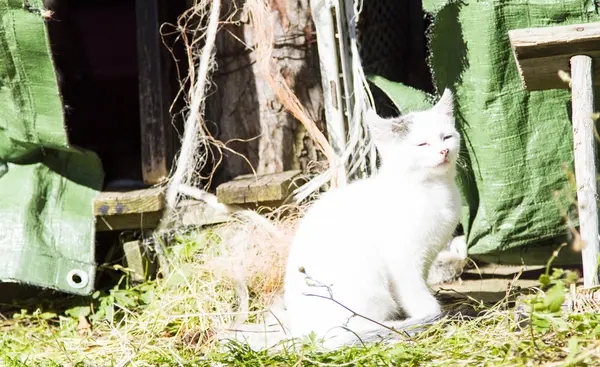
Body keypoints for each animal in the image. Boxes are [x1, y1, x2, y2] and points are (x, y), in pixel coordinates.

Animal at [284, 89, 462, 348]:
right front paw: (428, 312)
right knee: (352, 331)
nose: (444, 151)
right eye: (422, 144)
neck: (433, 189)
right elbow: (414, 292)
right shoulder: (403, 260)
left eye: (447, 137)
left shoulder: (427, 256)